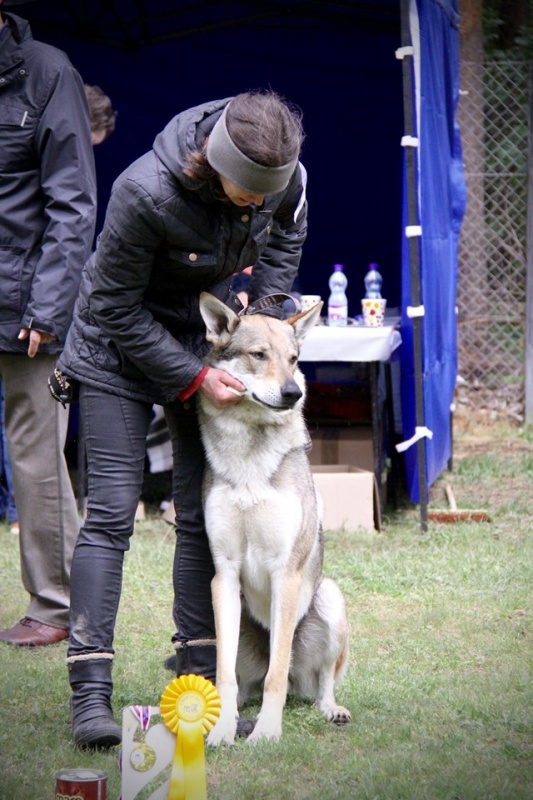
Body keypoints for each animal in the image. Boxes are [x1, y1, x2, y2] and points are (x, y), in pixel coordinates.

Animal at [197, 292, 352, 744]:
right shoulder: (224, 574)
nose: (292, 392)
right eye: (259, 355)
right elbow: (226, 678)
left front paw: (266, 733)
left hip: (330, 599)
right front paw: (222, 732)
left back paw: (331, 709)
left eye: (293, 358)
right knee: (242, 681)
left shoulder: (287, 572)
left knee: (320, 683)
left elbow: (276, 676)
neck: (249, 459)